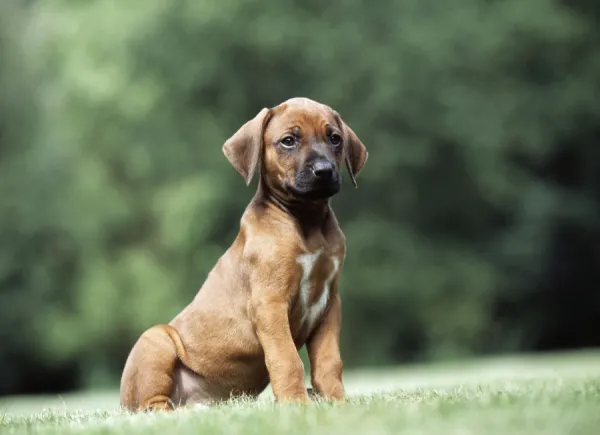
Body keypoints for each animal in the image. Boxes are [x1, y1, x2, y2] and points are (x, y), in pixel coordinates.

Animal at [119, 96, 368, 412]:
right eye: (288, 141)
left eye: (335, 138)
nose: (323, 170)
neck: (306, 221)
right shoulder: (270, 303)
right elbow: (287, 359)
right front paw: (295, 403)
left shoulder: (329, 303)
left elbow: (328, 362)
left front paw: (336, 401)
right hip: (155, 339)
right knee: (150, 406)